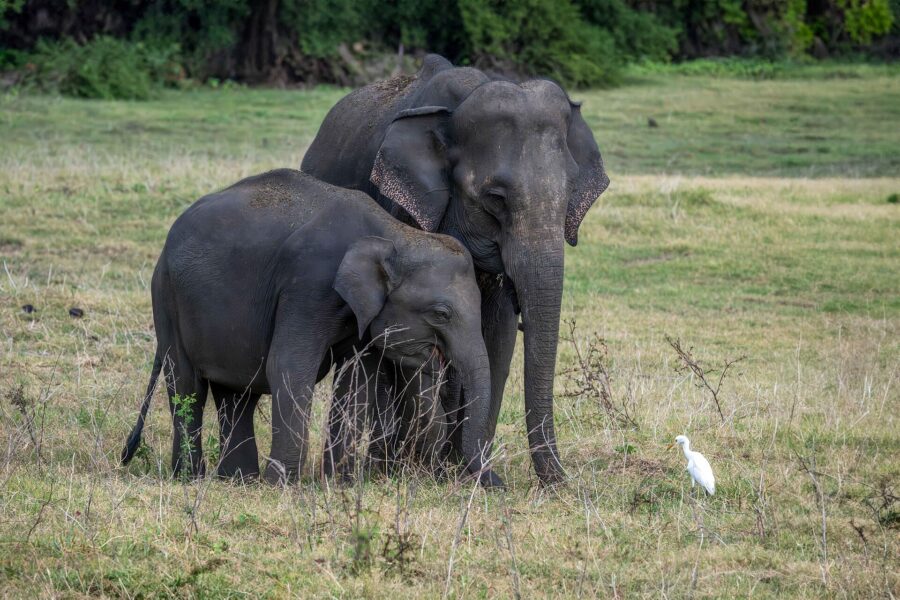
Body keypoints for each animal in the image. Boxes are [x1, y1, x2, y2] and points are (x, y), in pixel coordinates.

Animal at [120, 168, 503, 488]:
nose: (497, 483)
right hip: (166, 297)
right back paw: (192, 478)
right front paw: (283, 487)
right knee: (186, 383)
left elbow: (356, 380)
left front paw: (340, 484)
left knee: (237, 395)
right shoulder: (308, 284)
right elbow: (289, 365)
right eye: (441, 313)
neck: (394, 234)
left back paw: (238, 480)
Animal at [301, 54, 610, 484]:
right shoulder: (405, 207)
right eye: (495, 198)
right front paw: (432, 468)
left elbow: (497, 335)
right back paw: (384, 466)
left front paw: (466, 470)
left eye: (568, 195)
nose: (562, 483)